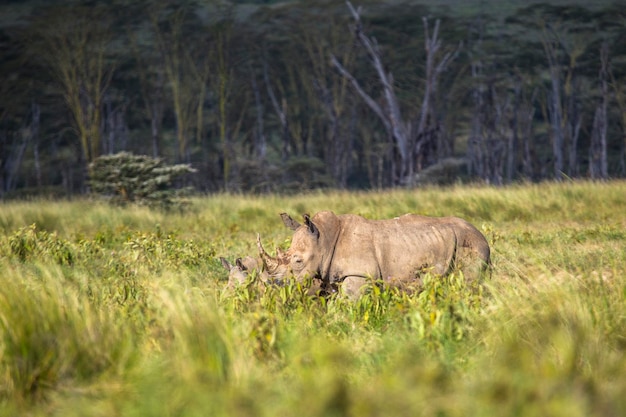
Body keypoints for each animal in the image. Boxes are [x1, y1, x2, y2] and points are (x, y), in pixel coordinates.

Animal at [256, 211, 490, 296]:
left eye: (297, 261)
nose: (275, 285)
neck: (324, 238)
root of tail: (482, 236)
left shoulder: (359, 274)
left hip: (471, 244)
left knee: (468, 282)